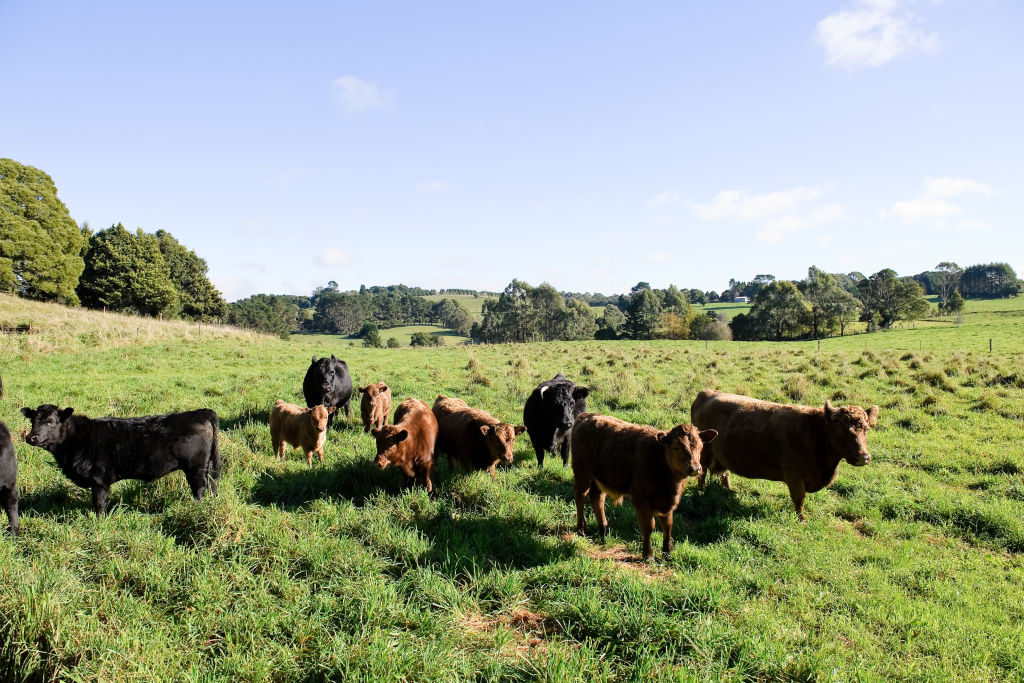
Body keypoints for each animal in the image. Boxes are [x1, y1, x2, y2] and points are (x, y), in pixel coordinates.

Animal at [20, 403, 220, 516]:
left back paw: (196, 507)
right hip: (207, 466)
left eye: (50, 422)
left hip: (195, 468)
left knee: (199, 488)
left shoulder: (99, 480)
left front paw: (99, 521)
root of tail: (201, 413)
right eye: (33, 421)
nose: (31, 437)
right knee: (212, 485)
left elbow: (99, 504)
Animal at [569, 413, 712, 557]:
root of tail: (586, 416)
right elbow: (648, 526)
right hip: (582, 472)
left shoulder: (668, 503)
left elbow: (667, 525)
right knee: (580, 495)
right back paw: (581, 528)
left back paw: (603, 530)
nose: (695, 468)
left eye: (700, 446)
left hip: (599, 478)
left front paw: (667, 552)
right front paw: (648, 555)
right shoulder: (641, 501)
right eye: (677, 447)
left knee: (597, 499)